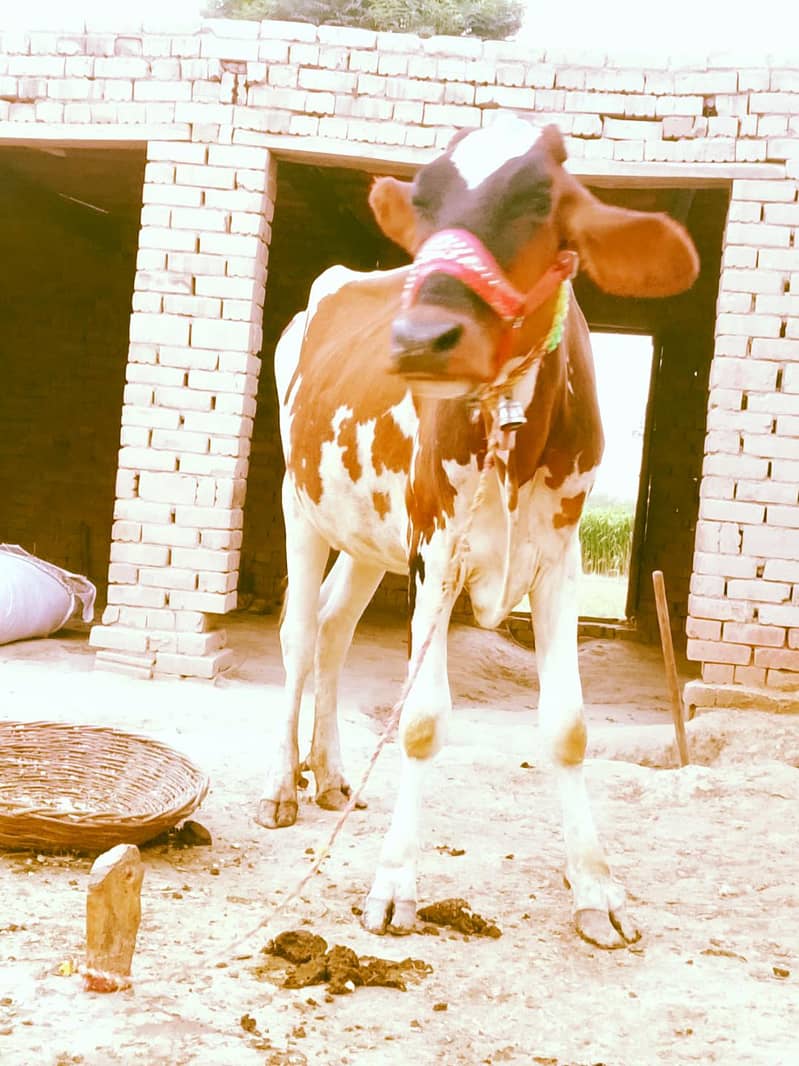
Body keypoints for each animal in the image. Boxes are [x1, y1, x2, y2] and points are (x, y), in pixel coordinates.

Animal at [257, 116, 699, 949]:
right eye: (424, 200)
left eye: (539, 201)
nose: (419, 337)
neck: (511, 428)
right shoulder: (435, 550)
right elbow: (421, 721)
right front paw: (395, 882)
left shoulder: (558, 556)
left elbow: (568, 727)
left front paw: (594, 887)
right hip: (300, 505)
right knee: (297, 636)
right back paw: (280, 788)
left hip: (369, 535)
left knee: (332, 628)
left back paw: (329, 777)